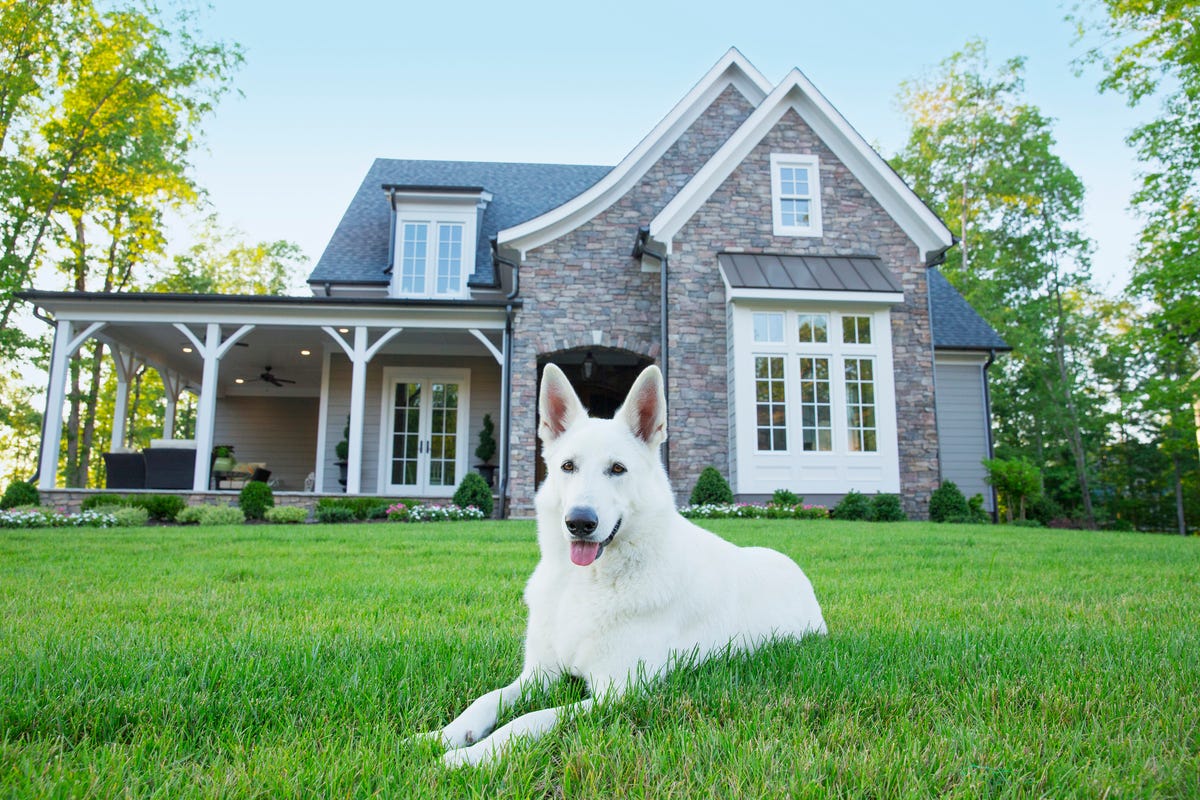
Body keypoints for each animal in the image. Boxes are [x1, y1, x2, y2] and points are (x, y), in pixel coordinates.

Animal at [422, 367, 825, 767]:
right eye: (568, 466)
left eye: (617, 469)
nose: (579, 522)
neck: (585, 584)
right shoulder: (538, 674)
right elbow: (487, 699)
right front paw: (441, 736)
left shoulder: (614, 693)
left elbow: (530, 719)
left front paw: (473, 756)